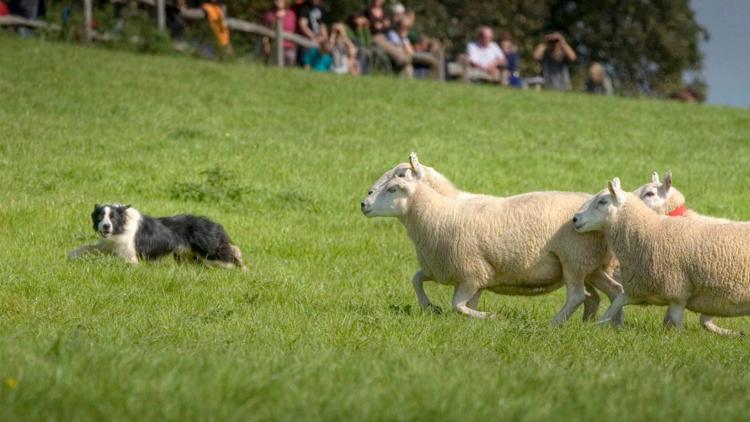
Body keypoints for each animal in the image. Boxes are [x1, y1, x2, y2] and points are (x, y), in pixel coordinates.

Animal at [362, 153, 624, 324]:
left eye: (398, 178)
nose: (364, 202)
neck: (445, 208)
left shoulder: (470, 271)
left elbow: (458, 305)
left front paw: (491, 317)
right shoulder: (452, 271)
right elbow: (417, 280)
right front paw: (432, 308)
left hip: (574, 260)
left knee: (579, 296)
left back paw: (556, 323)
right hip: (591, 265)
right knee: (611, 292)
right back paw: (605, 325)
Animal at [580, 178, 750, 336]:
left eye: (602, 202)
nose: (576, 218)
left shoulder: (676, 291)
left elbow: (677, 320)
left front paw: (678, 338)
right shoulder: (638, 288)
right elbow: (615, 304)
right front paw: (595, 327)